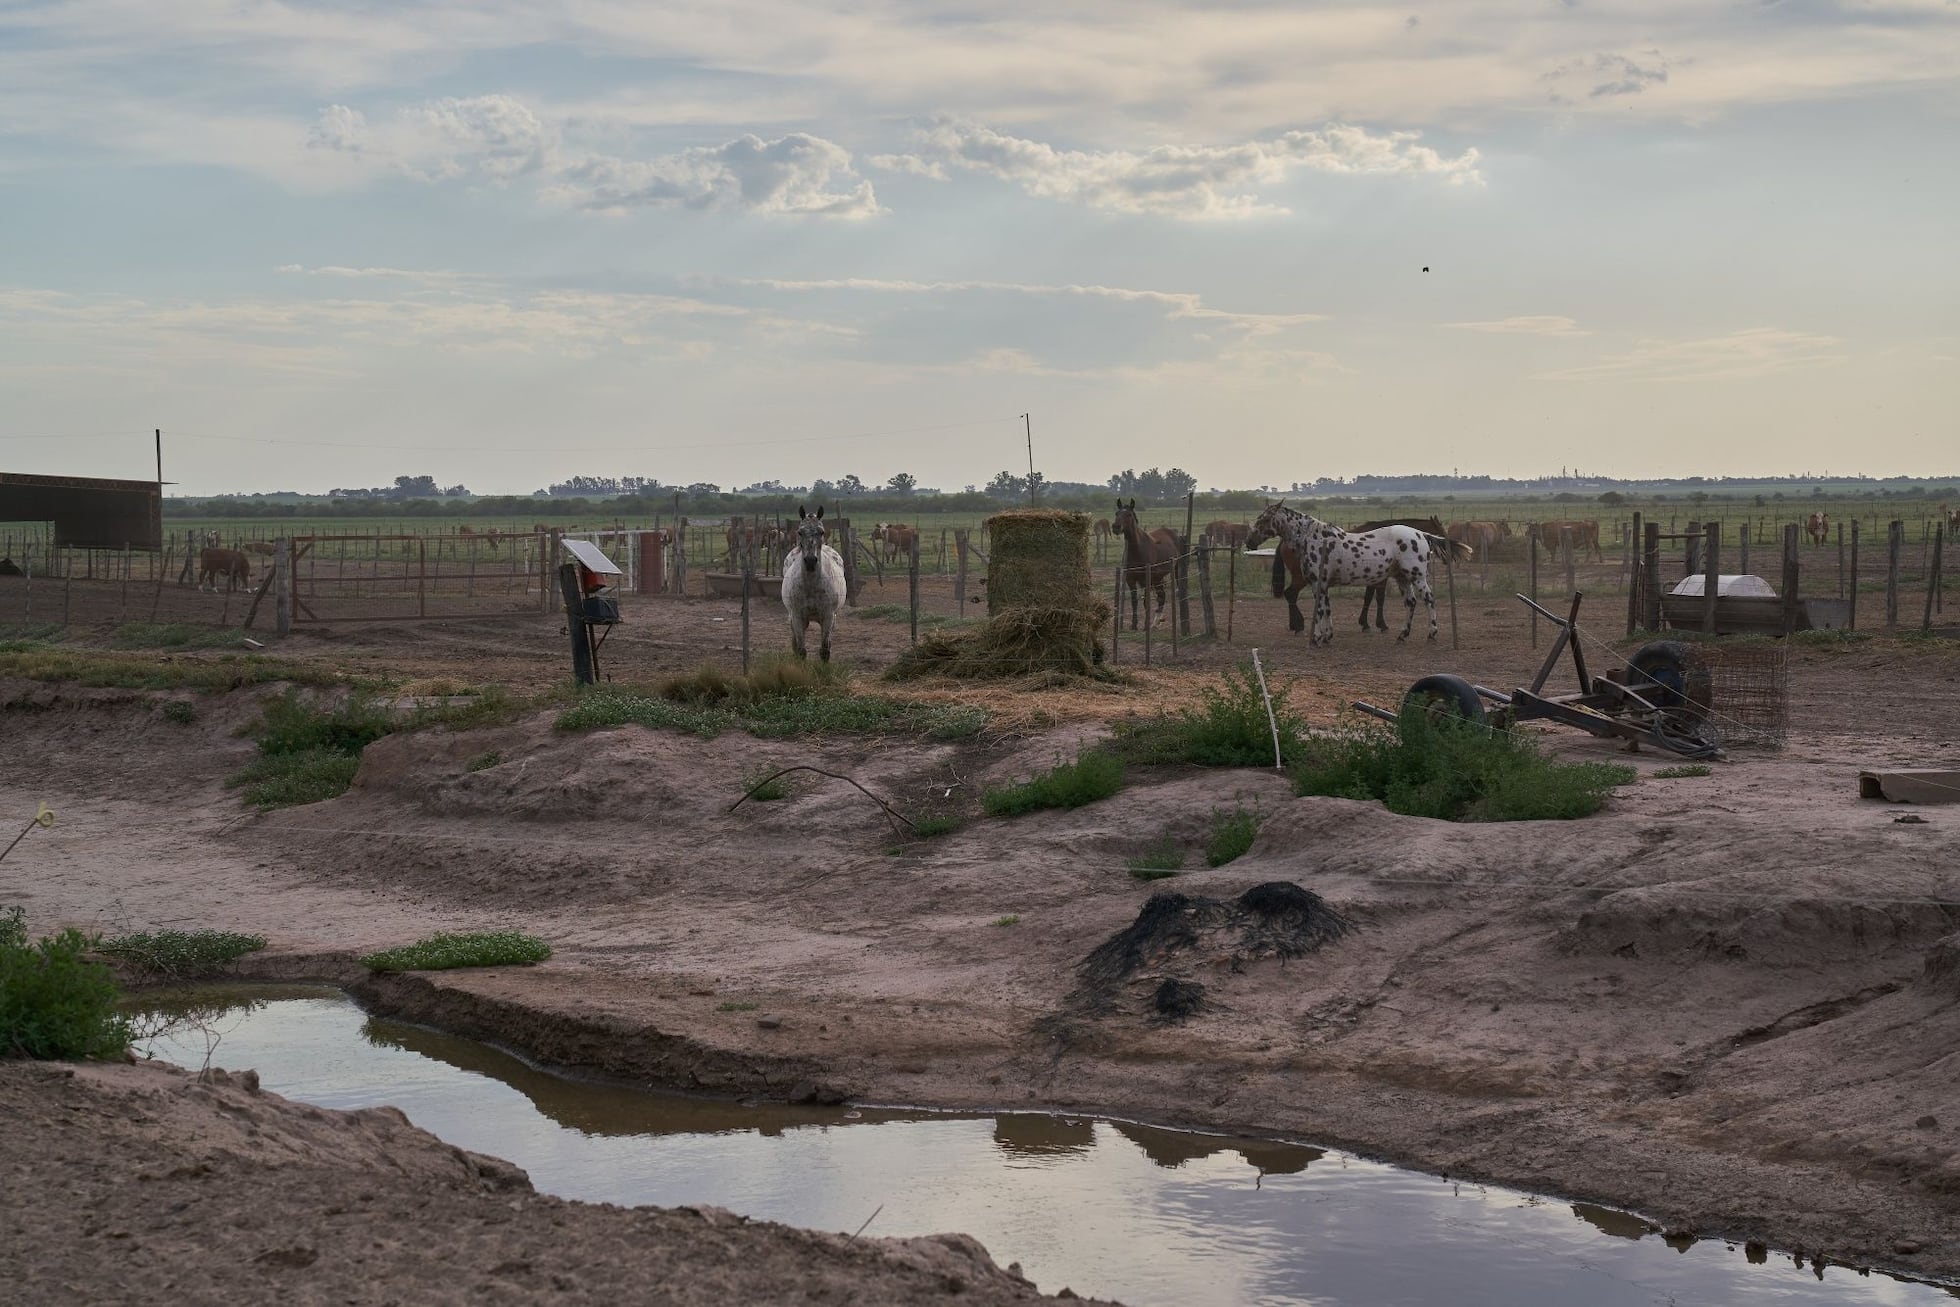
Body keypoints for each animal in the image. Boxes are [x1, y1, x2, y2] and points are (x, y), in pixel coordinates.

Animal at [776, 505, 846, 658]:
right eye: (800, 532)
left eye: (821, 532)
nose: (810, 561)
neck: (811, 585)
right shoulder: (797, 617)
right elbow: (801, 650)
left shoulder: (828, 617)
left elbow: (825, 650)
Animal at [1121, 497, 1176, 630]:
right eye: (1116, 513)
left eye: (1129, 515)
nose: (1115, 526)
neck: (1136, 551)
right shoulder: (1130, 579)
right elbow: (1134, 601)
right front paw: (1134, 625)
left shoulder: (1145, 579)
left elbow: (1146, 601)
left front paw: (1145, 625)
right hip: (1158, 578)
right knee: (1162, 597)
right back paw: (1156, 622)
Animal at [1254, 501, 1442, 642]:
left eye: (1264, 519)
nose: (1250, 541)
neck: (1315, 539)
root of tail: (1421, 534)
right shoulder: (1323, 584)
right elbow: (1327, 607)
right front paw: (1327, 635)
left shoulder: (1319, 583)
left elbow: (1322, 608)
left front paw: (1318, 637)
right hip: (1403, 578)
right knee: (1411, 602)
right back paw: (1403, 634)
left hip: (1416, 577)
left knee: (1428, 599)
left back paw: (1431, 633)